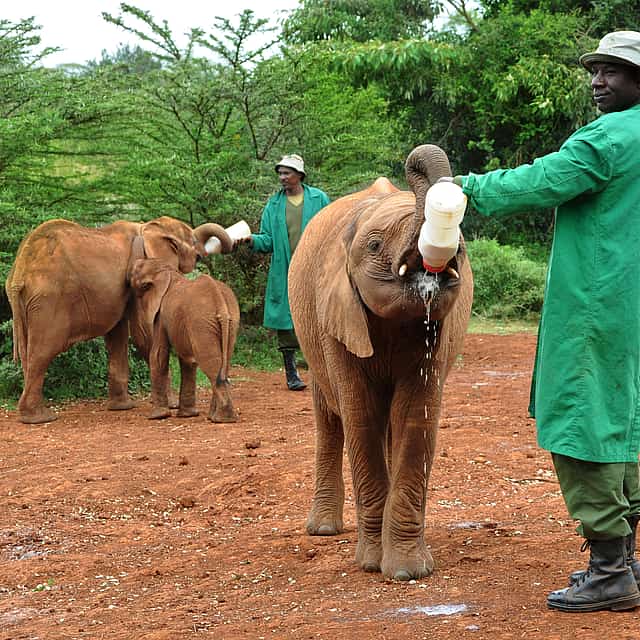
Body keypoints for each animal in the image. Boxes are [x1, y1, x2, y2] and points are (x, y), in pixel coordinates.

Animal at [129, 258, 240, 423]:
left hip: (201, 322)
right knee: (223, 363)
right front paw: (187, 415)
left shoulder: (161, 315)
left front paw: (157, 416)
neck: (167, 271)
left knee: (209, 362)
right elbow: (187, 360)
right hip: (231, 321)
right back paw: (214, 417)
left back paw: (222, 419)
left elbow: (158, 355)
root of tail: (220, 301)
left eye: (137, 270)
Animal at [288, 144, 473, 581]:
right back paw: (323, 530)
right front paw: (374, 564)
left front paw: (408, 571)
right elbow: (361, 416)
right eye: (373, 246)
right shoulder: (335, 316)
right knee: (329, 418)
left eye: (460, 245)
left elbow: (415, 417)